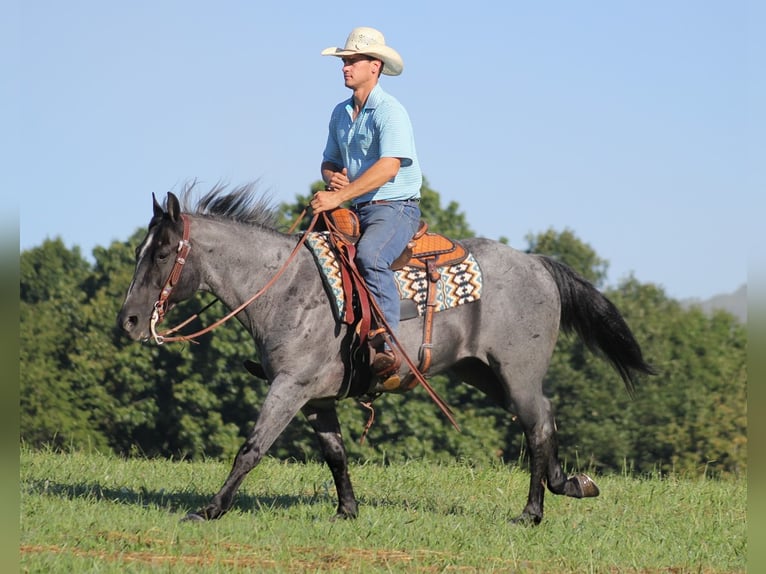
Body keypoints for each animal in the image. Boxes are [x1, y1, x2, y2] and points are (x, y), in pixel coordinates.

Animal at [117, 184, 656, 528]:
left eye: (162, 252)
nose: (128, 320)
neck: (285, 288)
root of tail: (537, 263)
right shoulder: (317, 398)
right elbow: (334, 453)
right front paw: (346, 511)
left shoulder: (289, 387)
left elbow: (251, 448)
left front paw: (210, 509)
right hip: (484, 374)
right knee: (543, 419)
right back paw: (572, 484)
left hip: (517, 374)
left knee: (538, 424)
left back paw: (532, 513)